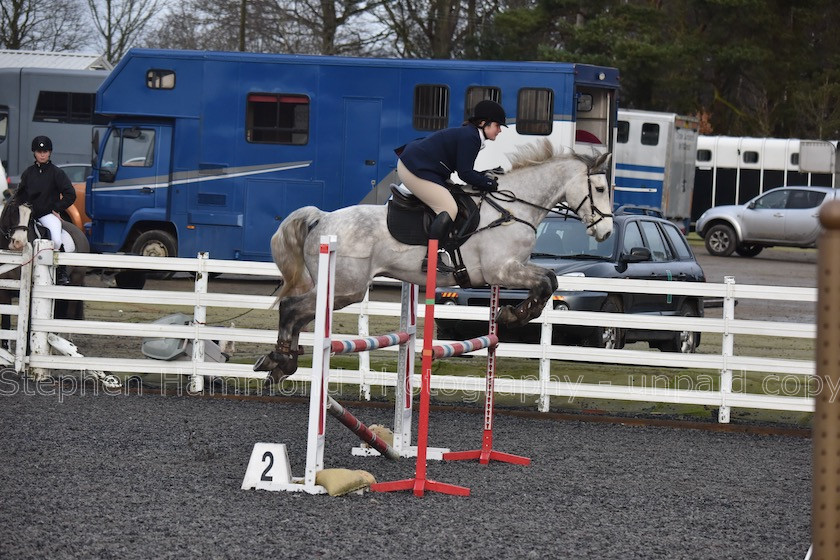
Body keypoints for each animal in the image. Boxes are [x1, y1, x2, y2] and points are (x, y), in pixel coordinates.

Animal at [253, 141, 612, 384]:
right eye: (599, 187)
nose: (606, 231)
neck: (513, 209)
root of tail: (321, 218)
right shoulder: (501, 269)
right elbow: (546, 282)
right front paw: (513, 315)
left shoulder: (512, 269)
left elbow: (550, 280)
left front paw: (512, 314)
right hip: (346, 288)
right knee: (291, 308)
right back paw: (280, 359)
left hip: (339, 290)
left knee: (300, 314)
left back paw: (281, 362)